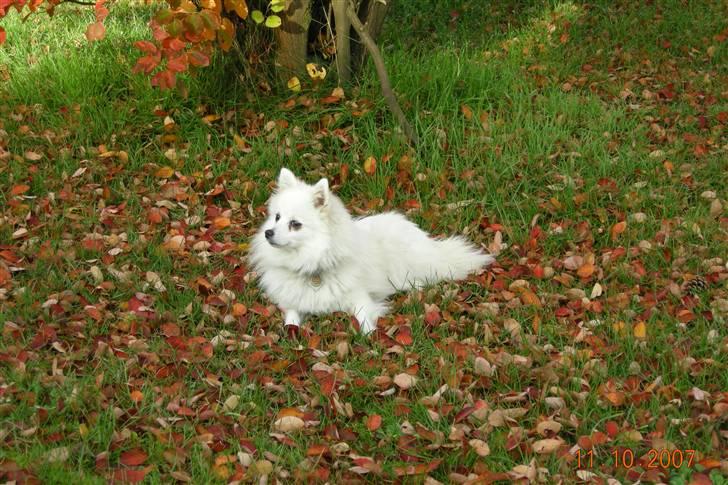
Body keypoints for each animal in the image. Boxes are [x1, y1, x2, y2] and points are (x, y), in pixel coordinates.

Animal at [250, 168, 494, 334]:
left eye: (295, 224)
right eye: (277, 217)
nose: (268, 233)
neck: (311, 263)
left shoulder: (359, 298)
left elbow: (364, 316)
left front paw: (369, 335)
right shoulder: (294, 302)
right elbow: (291, 317)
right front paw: (291, 330)